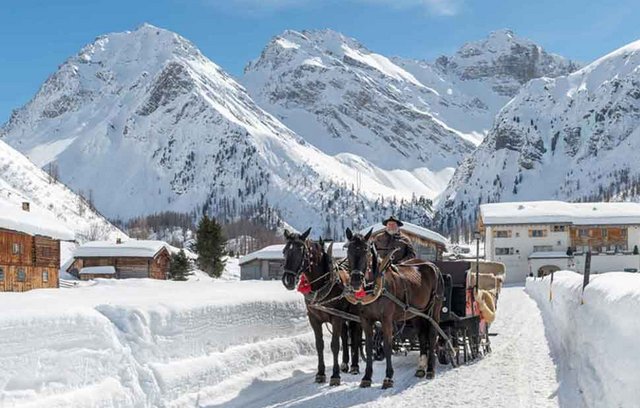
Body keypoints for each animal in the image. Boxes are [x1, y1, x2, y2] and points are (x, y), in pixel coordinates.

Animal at [282, 230, 362, 386]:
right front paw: (320, 374)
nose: (288, 280)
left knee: (355, 336)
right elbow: (320, 345)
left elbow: (335, 345)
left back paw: (355, 366)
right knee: (345, 336)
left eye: (301, 251)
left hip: (355, 315)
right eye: (284, 251)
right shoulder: (314, 318)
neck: (321, 285)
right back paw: (345, 364)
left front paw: (335, 376)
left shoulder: (336, 317)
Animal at [344, 226, 444, 388]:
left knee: (432, 335)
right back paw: (421, 368)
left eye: (366, 251)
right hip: (417, 313)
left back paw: (430, 370)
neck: (376, 287)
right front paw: (366, 377)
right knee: (422, 336)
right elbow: (369, 346)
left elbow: (388, 346)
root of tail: (432, 265)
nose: (356, 281)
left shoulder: (386, 320)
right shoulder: (365, 320)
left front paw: (388, 377)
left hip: (434, 311)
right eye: (348, 251)